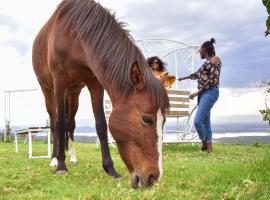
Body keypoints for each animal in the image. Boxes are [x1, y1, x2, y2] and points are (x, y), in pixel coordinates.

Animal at [31, 0, 168, 188]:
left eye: (164, 121)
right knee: (54, 122)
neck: (75, 35)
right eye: (147, 119)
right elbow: (59, 124)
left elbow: (101, 124)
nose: (154, 178)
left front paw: (110, 169)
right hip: (49, 91)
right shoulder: (59, 82)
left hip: (74, 93)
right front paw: (61, 166)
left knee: (70, 123)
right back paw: (54, 159)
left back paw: (72, 157)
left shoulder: (95, 83)